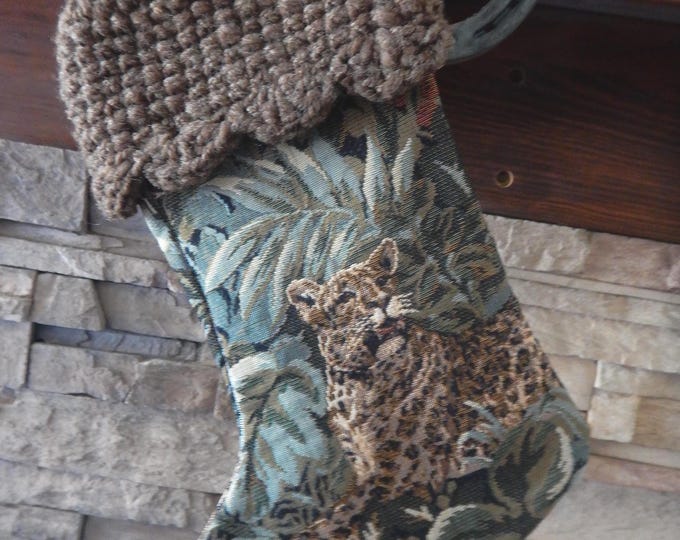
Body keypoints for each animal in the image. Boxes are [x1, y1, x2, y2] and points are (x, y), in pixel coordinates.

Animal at [287, 238, 558, 538]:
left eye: (382, 281)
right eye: (346, 296)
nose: (382, 301)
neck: (356, 385)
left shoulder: (399, 471)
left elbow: (345, 511)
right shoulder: (364, 466)